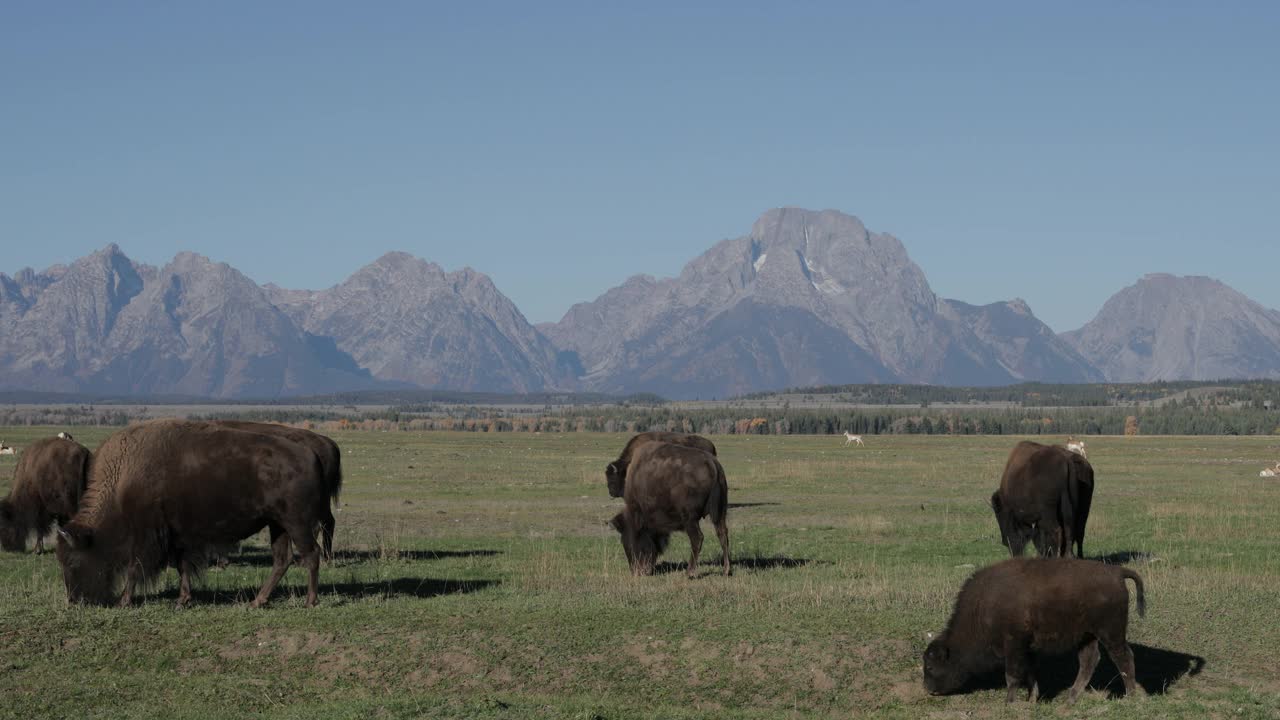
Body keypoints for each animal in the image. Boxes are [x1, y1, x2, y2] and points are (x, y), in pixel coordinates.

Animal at [609, 438, 732, 576]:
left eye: (628, 542)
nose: (637, 571)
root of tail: (713, 464)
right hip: (720, 513)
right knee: (722, 534)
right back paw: (726, 570)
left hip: (690, 519)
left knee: (697, 538)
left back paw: (690, 572)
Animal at [926, 556, 1146, 702]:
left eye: (930, 667)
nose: (929, 689)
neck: (982, 607)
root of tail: (1117, 572)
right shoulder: (1027, 648)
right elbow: (1030, 672)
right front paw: (1032, 699)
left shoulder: (1013, 644)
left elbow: (1012, 675)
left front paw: (1010, 702)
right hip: (1087, 636)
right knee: (1089, 661)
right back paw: (1071, 698)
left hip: (1110, 633)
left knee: (1123, 657)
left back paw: (1130, 697)